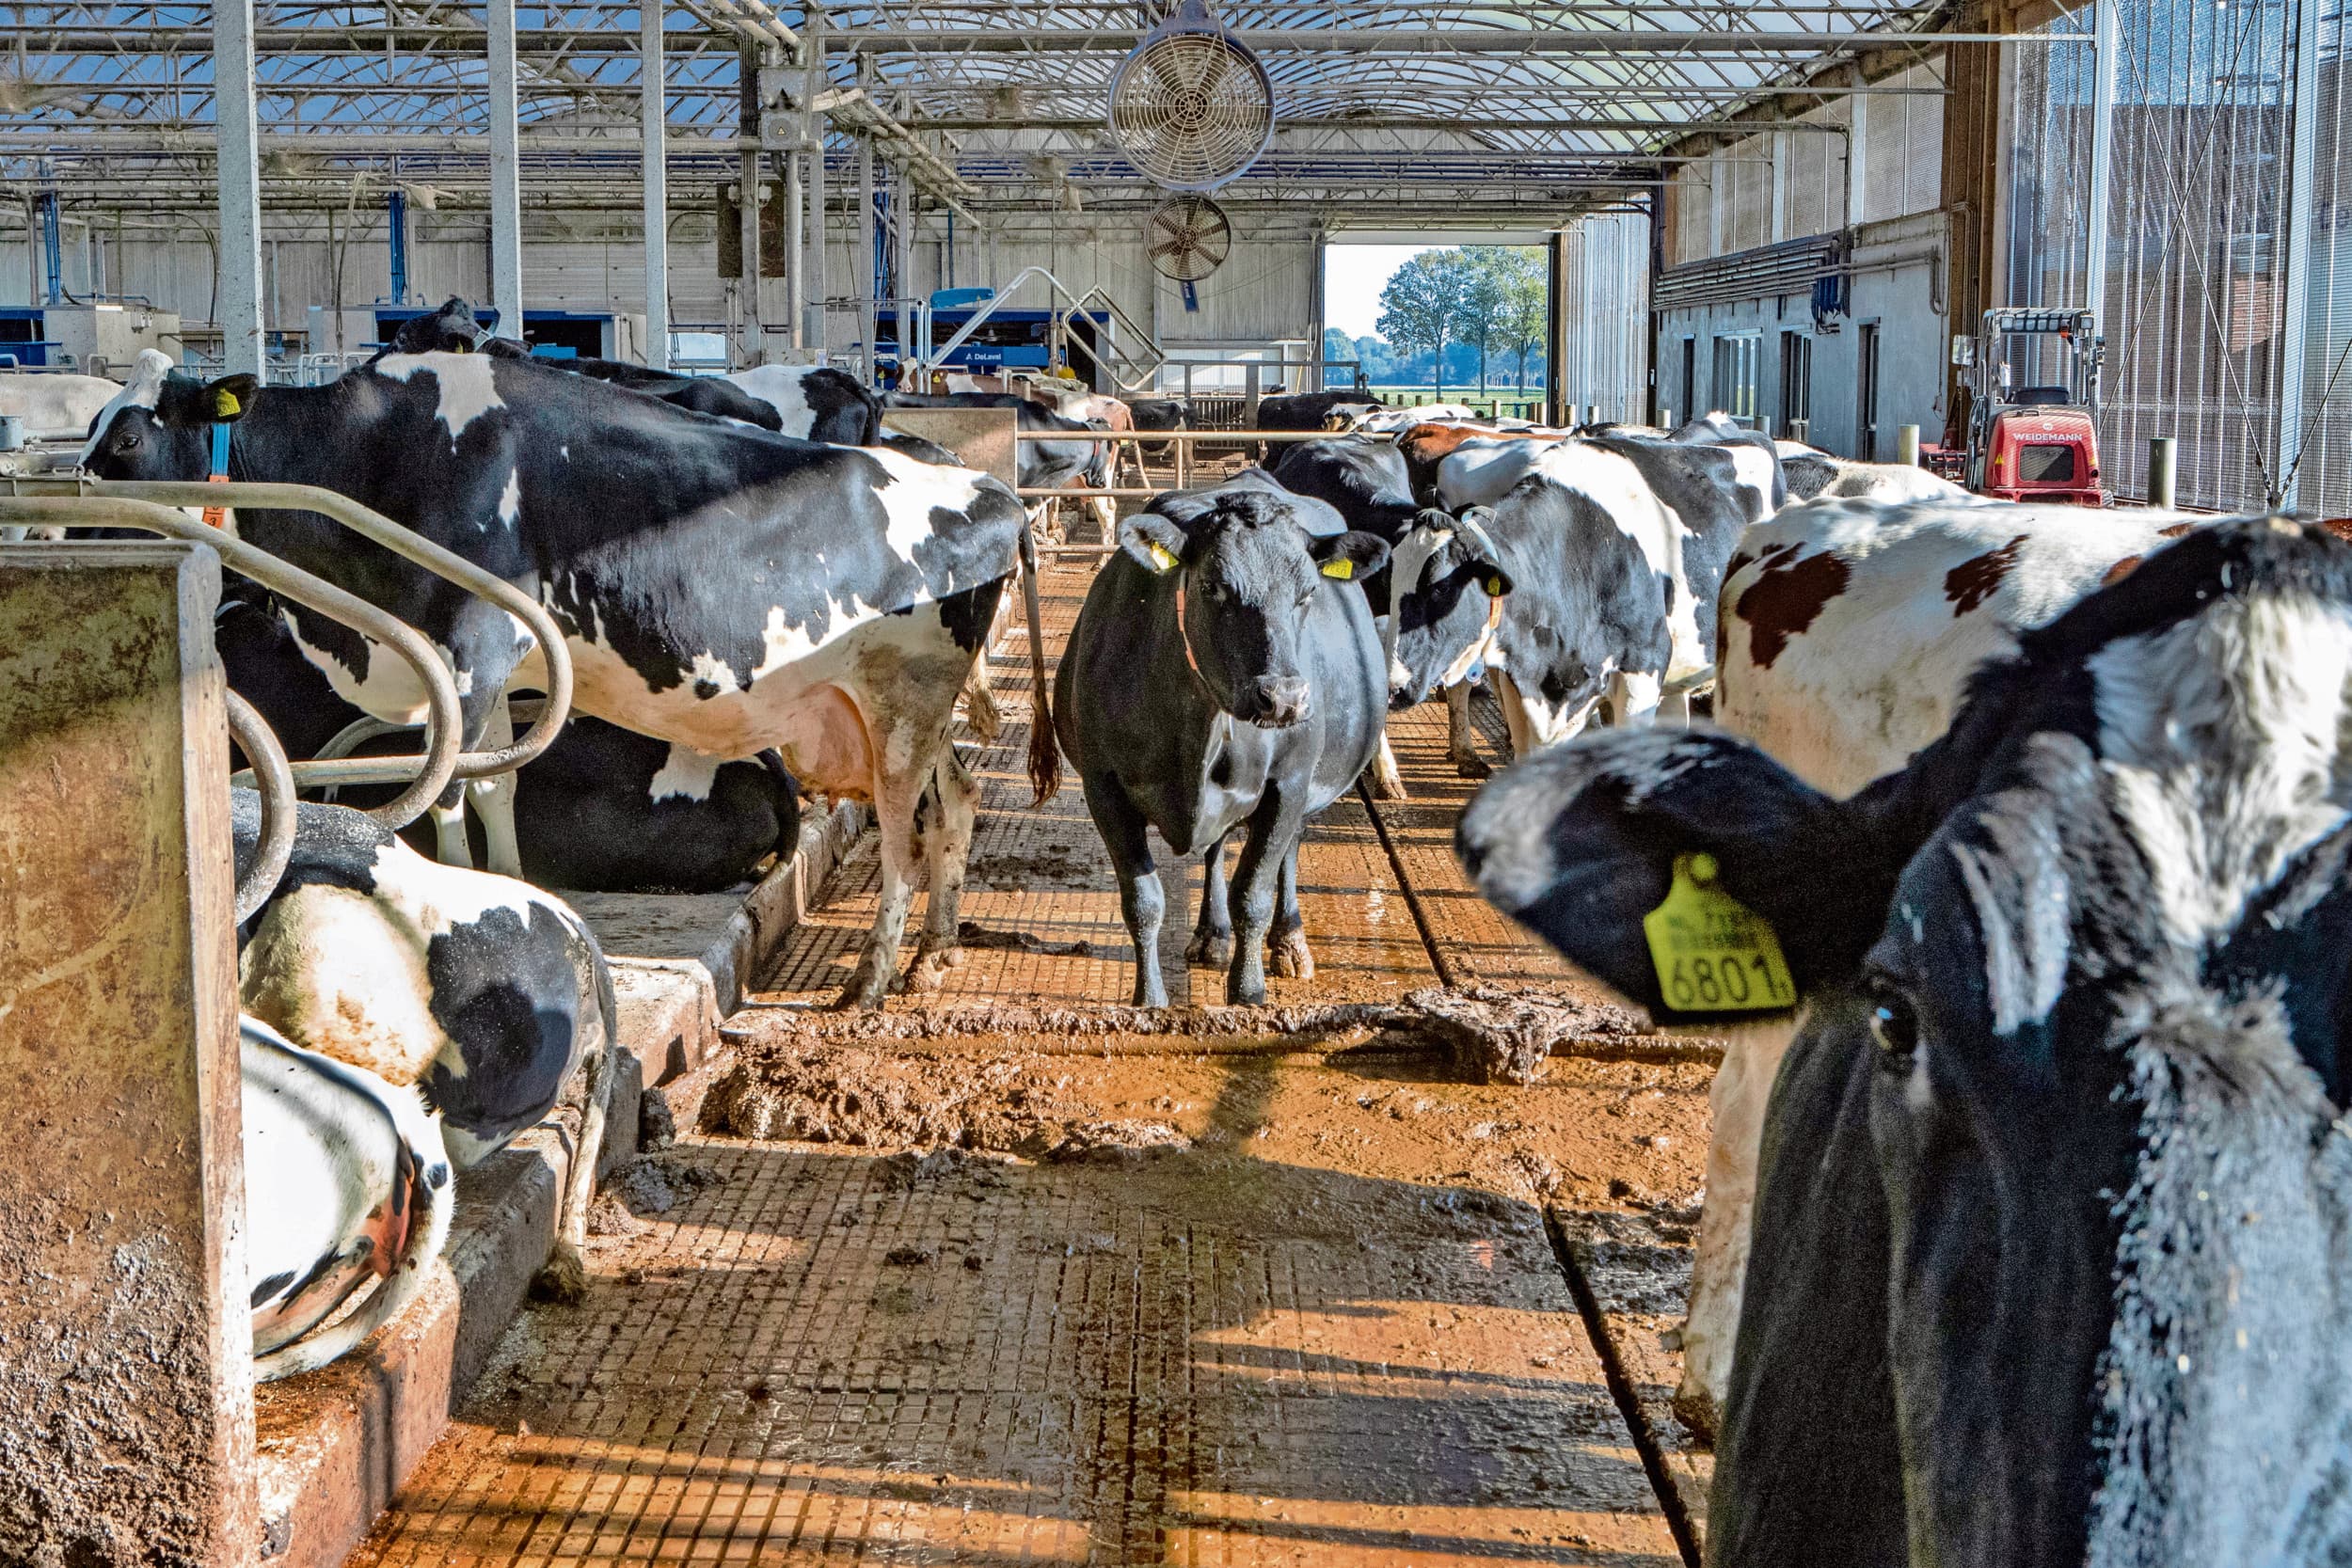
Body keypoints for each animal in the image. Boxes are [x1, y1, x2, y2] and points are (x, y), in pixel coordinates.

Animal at [88, 352, 1049, 1009]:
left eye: (128, 436)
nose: (74, 533)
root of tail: (993, 491)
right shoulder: (497, 666)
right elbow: (497, 783)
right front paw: (520, 891)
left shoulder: (467, 649)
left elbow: (445, 792)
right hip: (906, 708)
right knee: (955, 800)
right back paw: (934, 950)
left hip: (904, 700)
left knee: (900, 832)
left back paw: (872, 978)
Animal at [1054, 481, 1391, 1006]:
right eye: (1212, 586)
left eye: (1309, 592)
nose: (1283, 697)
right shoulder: (1103, 786)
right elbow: (1144, 901)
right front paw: (1150, 1000)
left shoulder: (1288, 784)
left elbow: (1252, 892)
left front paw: (1248, 992)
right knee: (1214, 851)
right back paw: (1212, 935)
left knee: (1286, 853)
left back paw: (1289, 942)